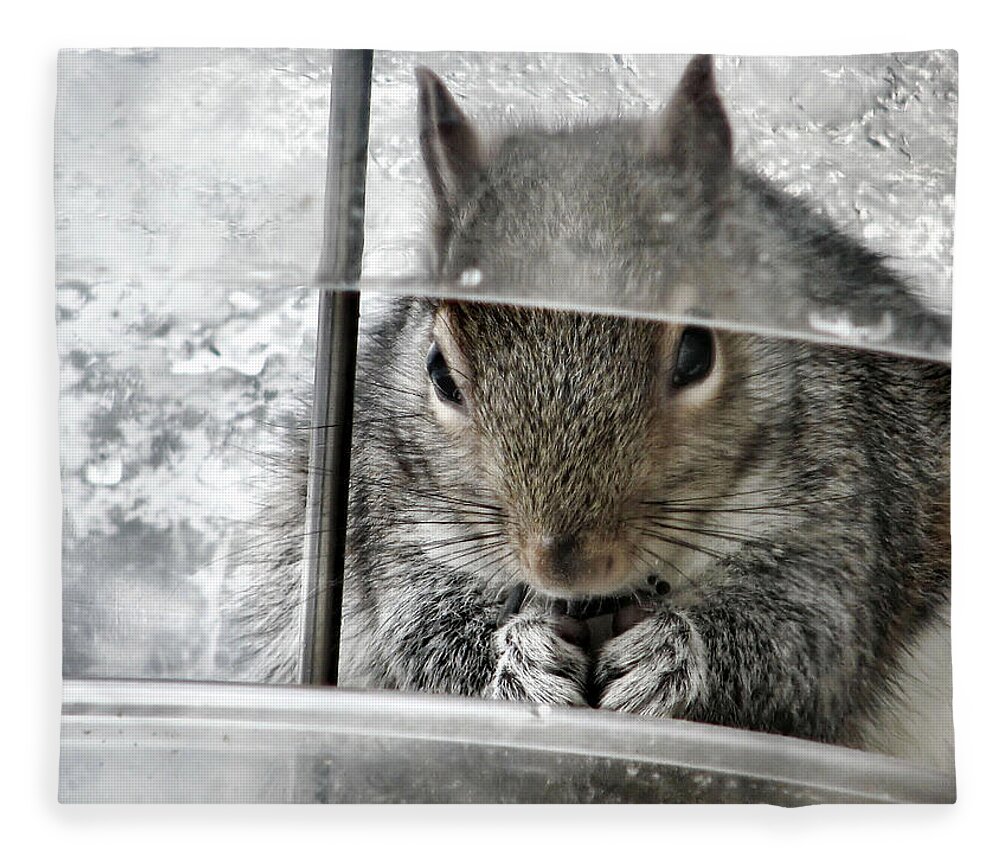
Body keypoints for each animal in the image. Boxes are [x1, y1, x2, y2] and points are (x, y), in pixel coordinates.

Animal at [219, 57, 952, 768]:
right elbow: (424, 630)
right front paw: (520, 662)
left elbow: (805, 640)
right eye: (439, 373)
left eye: (696, 353)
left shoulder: (844, 507)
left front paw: (672, 658)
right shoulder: (398, 509)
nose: (563, 566)